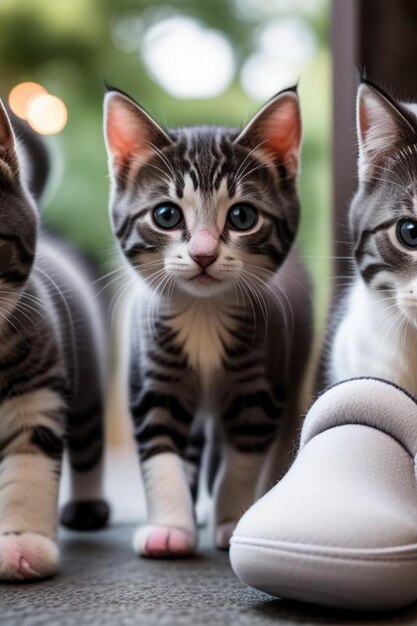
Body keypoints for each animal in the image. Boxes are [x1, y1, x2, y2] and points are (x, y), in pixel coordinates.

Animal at [103, 84, 312, 556]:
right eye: (166, 215)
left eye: (242, 216)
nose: (202, 253)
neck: (203, 313)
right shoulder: (153, 374)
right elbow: (161, 455)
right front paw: (169, 527)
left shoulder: (260, 382)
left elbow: (242, 460)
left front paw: (232, 519)